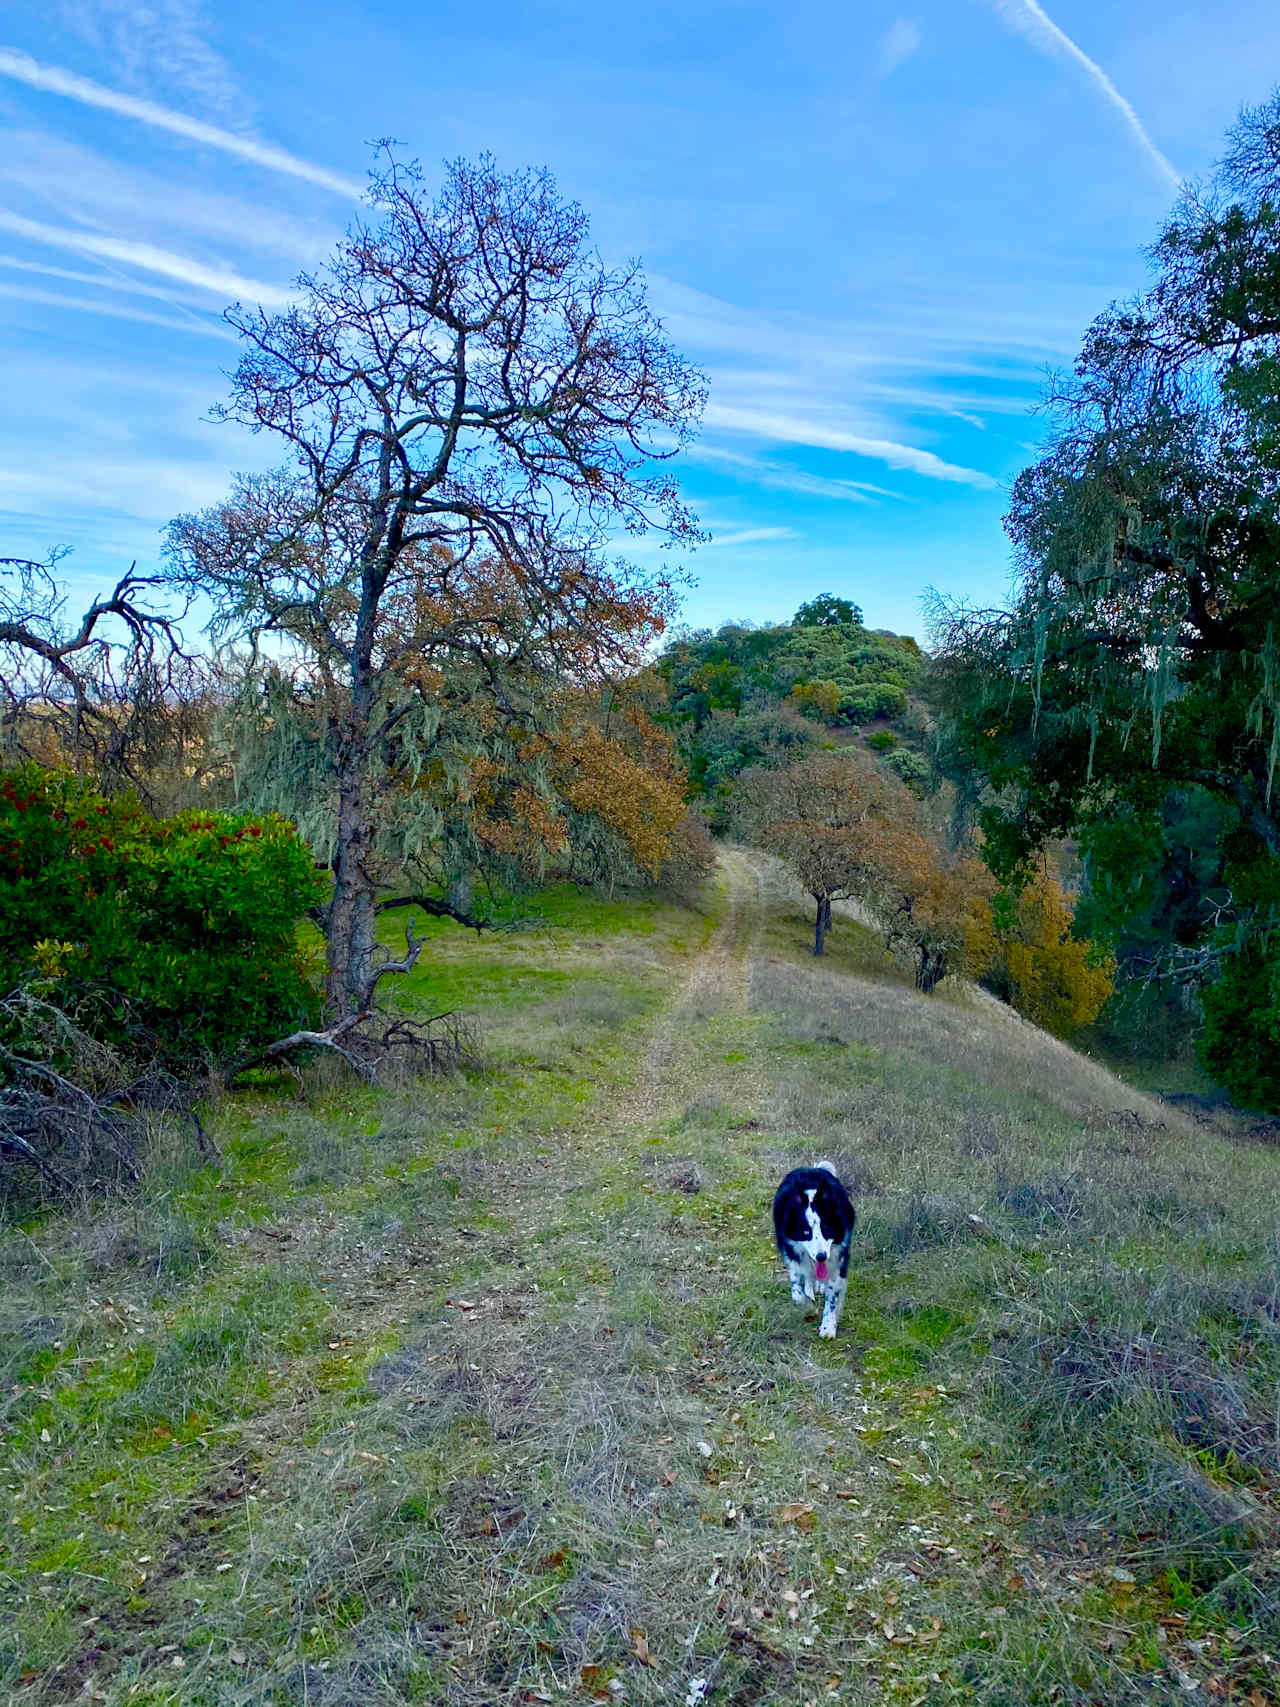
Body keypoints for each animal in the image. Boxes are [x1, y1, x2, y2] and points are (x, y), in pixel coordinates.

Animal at [778, 1167, 856, 1338]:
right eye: (806, 1232)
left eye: (826, 1229)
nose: (821, 1256)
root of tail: (811, 1168)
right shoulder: (790, 1250)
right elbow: (797, 1289)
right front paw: (807, 1305)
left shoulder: (839, 1259)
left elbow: (832, 1296)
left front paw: (828, 1327)